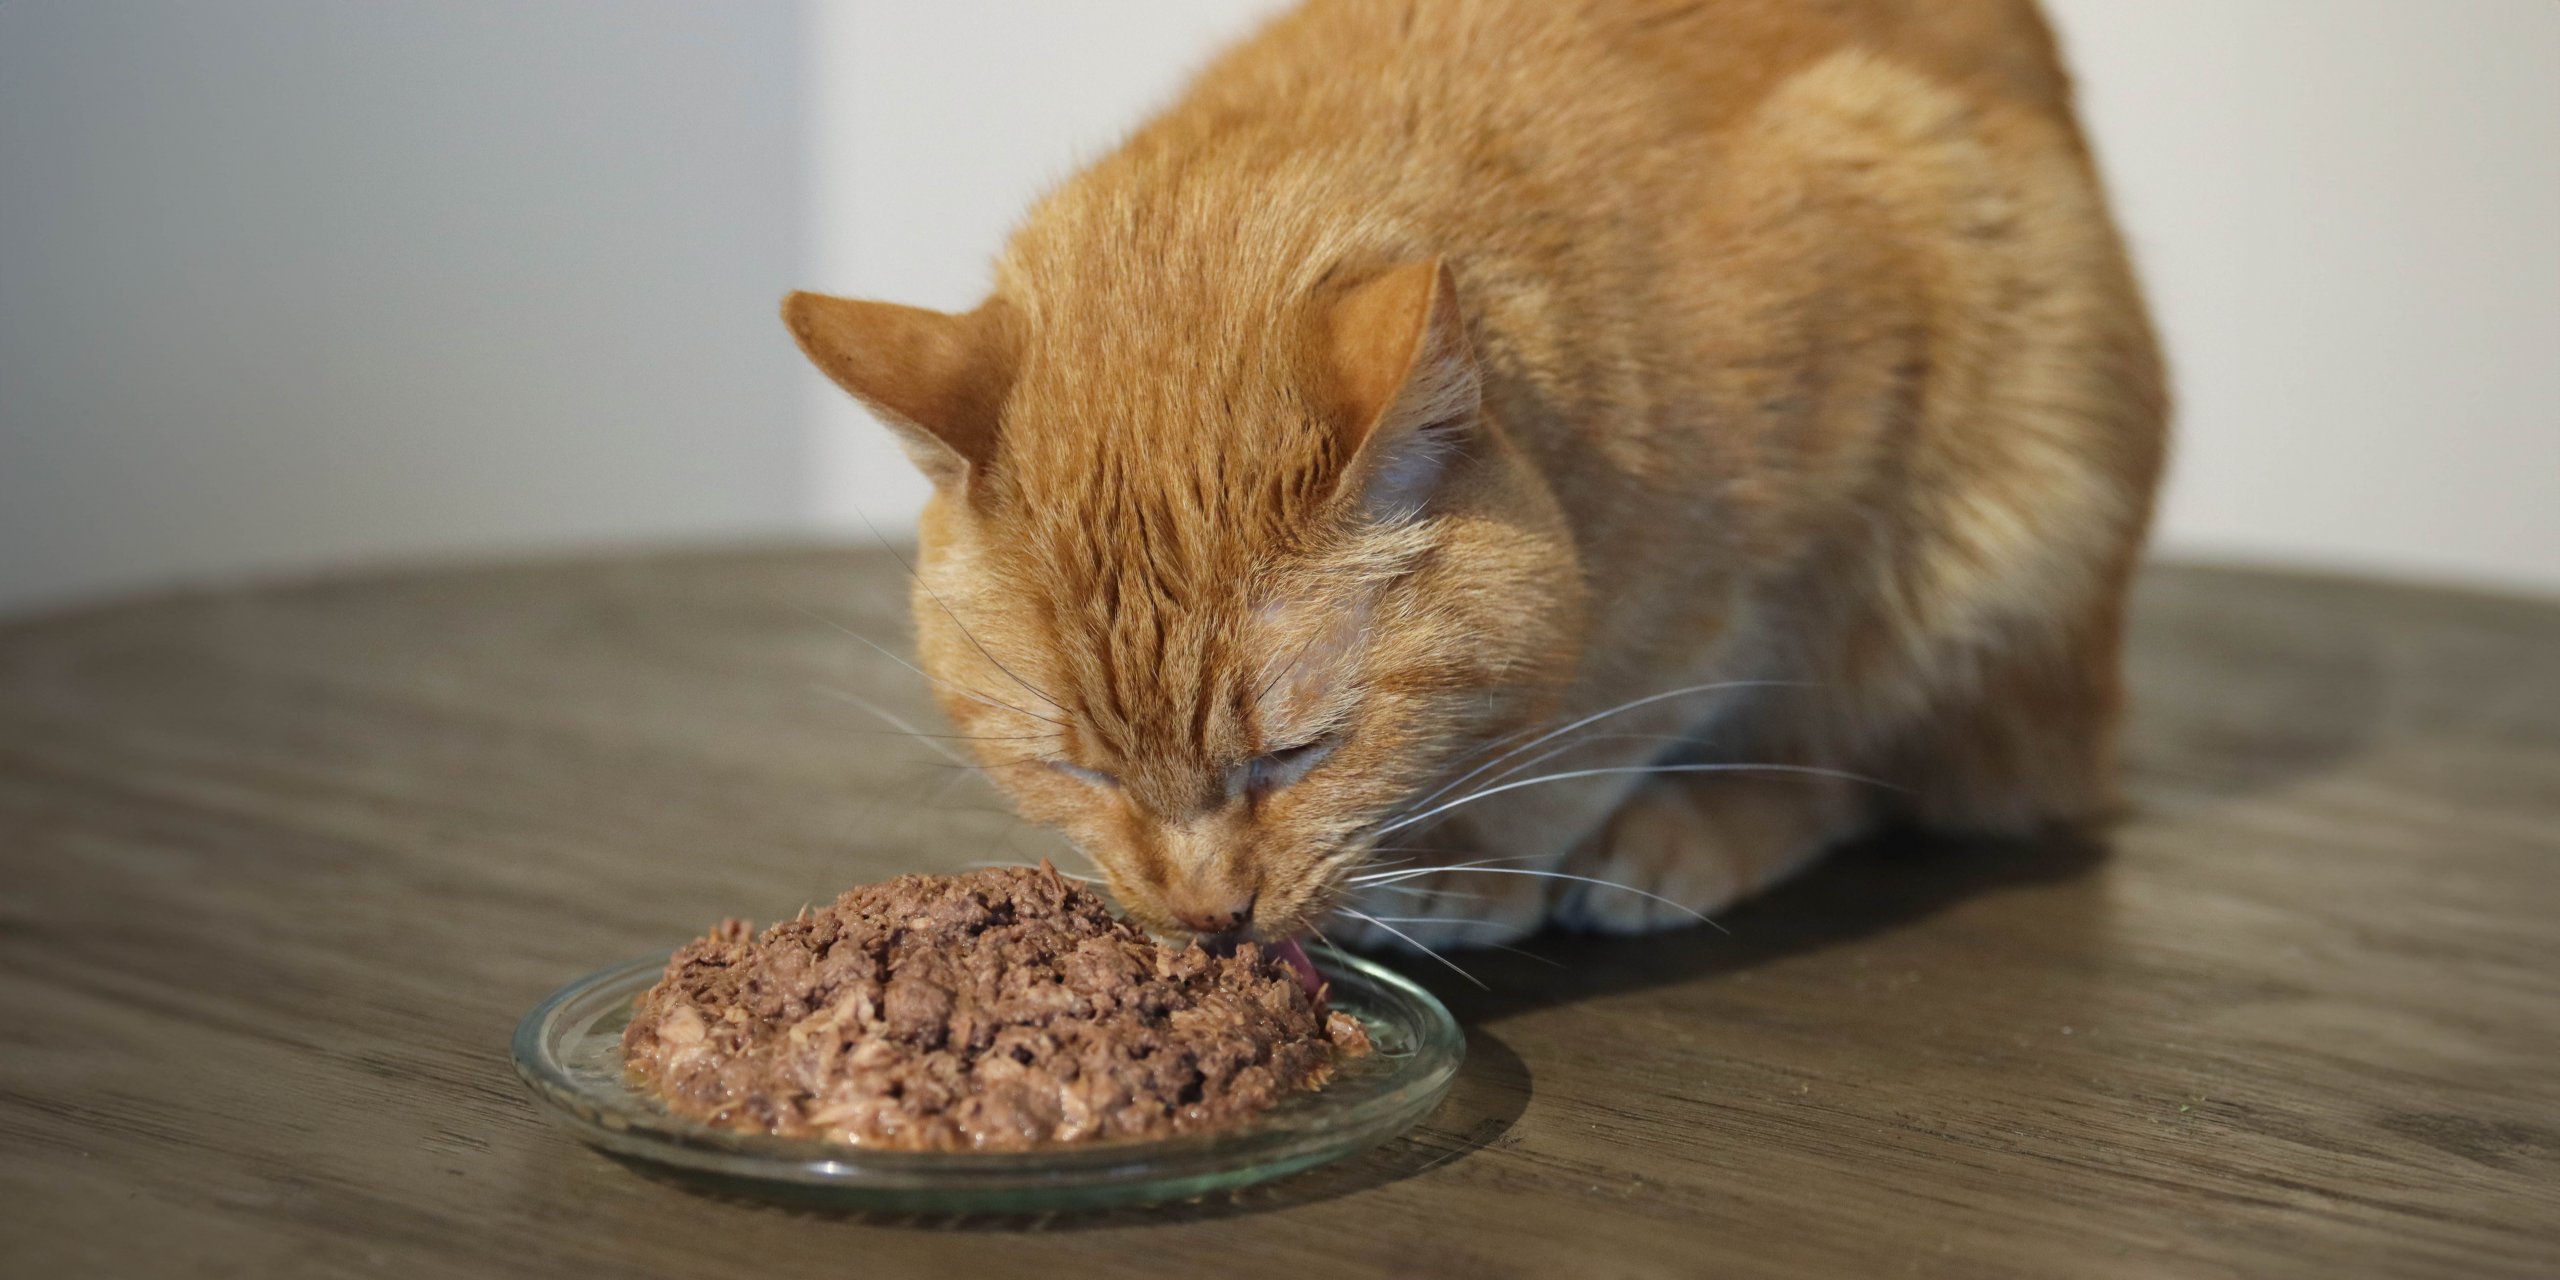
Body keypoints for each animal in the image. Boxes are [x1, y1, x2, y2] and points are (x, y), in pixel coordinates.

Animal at [778, 0, 2160, 952]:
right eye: (1083, 772)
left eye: (1298, 753)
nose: (1210, 917)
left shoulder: (1787, 506)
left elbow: (1624, 707)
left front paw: (1481, 853)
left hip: (2011, 515)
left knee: (1881, 765)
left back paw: (1688, 828)